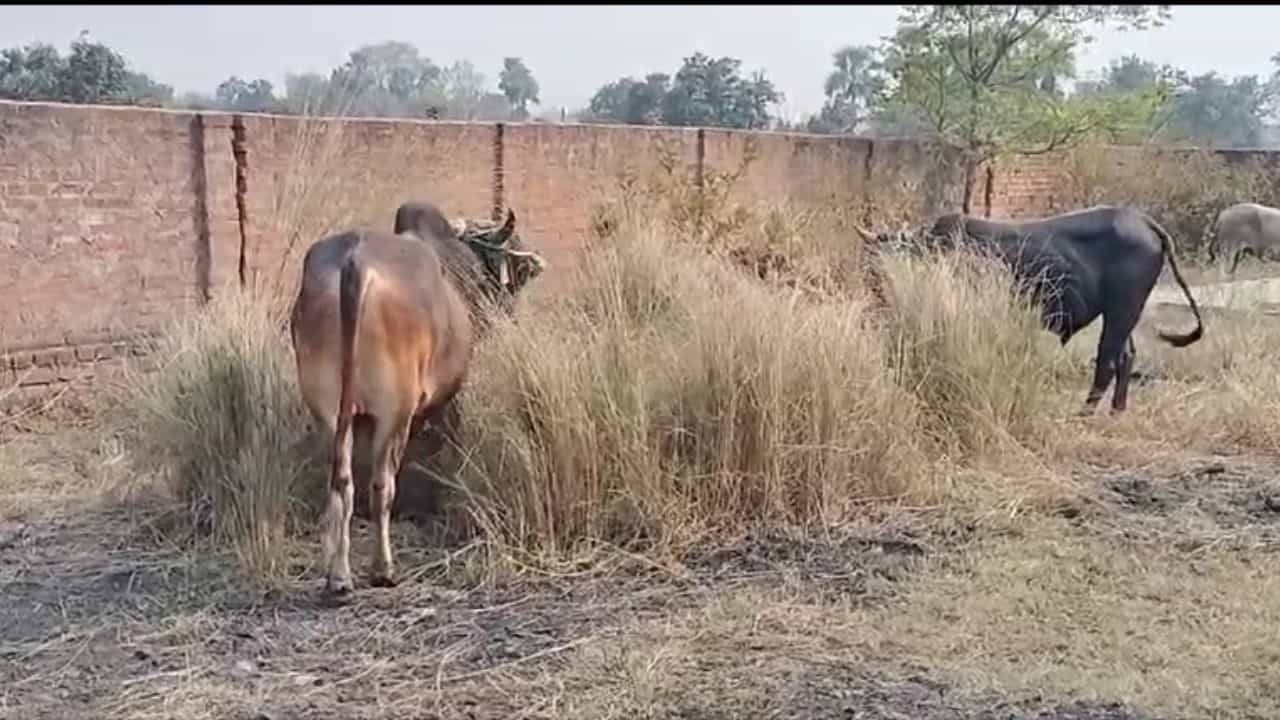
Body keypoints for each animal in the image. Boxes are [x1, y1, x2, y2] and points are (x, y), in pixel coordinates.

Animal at [289, 201, 546, 598]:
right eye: (518, 271)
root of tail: (355, 264)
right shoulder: (446, 400)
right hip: (394, 413)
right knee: (381, 484)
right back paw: (382, 569)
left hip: (328, 413)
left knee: (340, 482)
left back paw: (338, 574)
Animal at [855, 204, 1205, 415]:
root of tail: (1143, 221)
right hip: (1122, 314)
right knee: (1125, 356)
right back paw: (1116, 410)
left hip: (1122, 310)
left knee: (1107, 359)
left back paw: (1086, 411)